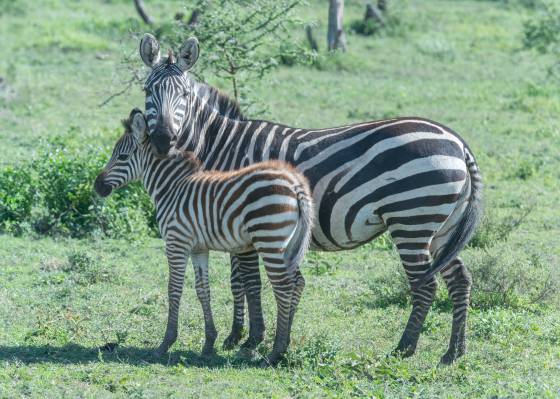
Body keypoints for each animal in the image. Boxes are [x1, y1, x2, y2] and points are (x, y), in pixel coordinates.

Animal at [94, 108, 312, 366]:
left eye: (123, 157)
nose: (97, 187)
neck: (171, 188)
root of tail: (295, 183)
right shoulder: (199, 248)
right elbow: (202, 290)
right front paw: (209, 343)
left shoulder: (176, 242)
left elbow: (174, 288)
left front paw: (165, 344)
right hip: (287, 244)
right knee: (297, 282)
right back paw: (284, 343)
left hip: (269, 239)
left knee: (284, 287)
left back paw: (276, 352)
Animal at [138, 35, 484, 366]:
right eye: (147, 90)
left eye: (184, 94)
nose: (163, 140)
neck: (220, 146)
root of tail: (458, 143)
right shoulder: (233, 223)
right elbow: (240, 280)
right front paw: (238, 336)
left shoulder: (239, 217)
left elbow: (247, 281)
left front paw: (250, 340)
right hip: (441, 227)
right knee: (460, 279)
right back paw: (454, 351)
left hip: (412, 219)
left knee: (425, 285)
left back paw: (404, 348)